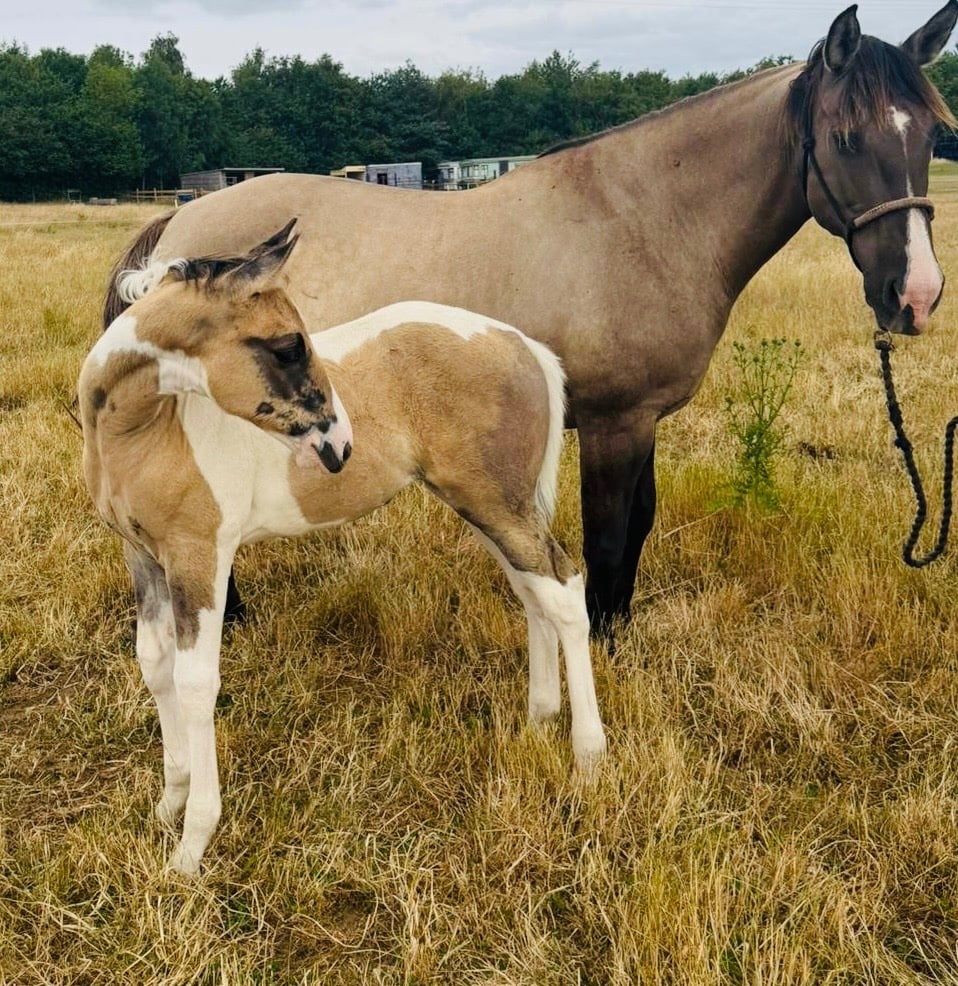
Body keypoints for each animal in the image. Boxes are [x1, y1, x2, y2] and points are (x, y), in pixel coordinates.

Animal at [80, 227, 607, 875]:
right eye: (288, 347)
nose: (340, 446)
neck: (147, 430)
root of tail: (525, 345)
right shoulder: (143, 556)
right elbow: (155, 666)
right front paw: (167, 805)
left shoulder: (200, 555)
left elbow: (196, 681)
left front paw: (190, 848)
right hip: (488, 503)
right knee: (533, 591)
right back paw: (539, 719)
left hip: (497, 503)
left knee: (565, 592)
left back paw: (588, 755)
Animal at [103, 3, 958, 634]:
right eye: (846, 138)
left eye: (931, 134)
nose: (915, 296)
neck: (642, 220)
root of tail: (178, 227)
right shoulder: (614, 423)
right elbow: (609, 536)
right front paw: (603, 643)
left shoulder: (639, 419)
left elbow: (638, 524)